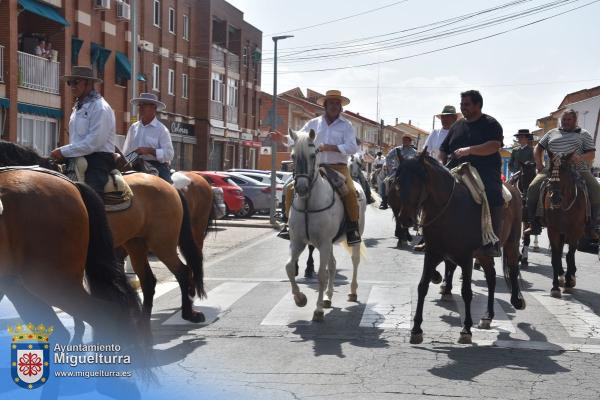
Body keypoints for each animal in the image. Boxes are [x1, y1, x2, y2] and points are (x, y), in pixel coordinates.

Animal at [284, 128, 366, 322]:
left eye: (314, 155)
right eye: (292, 156)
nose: (302, 188)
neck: (308, 204)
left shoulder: (323, 243)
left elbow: (321, 274)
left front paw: (318, 310)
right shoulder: (298, 242)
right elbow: (289, 268)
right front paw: (300, 298)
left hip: (353, 237)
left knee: (354, 261)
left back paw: (352, 292)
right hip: (329, 244)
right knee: (333, 264)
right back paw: (328, 298)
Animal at [390, 150, 524, 344]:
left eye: (417, 181)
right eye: (397, 182)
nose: (405, 219)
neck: (448, 209)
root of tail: (513, 189)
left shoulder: (466, 257)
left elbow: (466, 292)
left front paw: (466, 329)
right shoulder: (432, 253)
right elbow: (422, 286)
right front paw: (416, 329)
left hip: (511, 242)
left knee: (512, 267)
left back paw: (517, 300)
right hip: (483, 254)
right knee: (491, 277)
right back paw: (488, 316)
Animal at [544, 153, 584, 296]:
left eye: (566, 172)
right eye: (550, 170)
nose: (555, 198)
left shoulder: (575, 231)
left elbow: (570, 255)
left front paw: (569, 282)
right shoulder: (553, 230)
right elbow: (556, 256)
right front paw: (555, 287)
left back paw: (570, 277)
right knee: (559, 251)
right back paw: (561, 277)